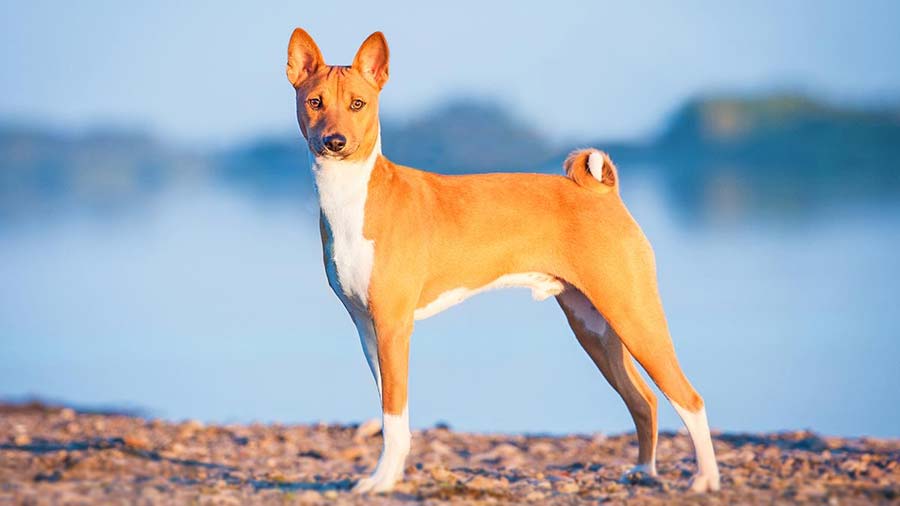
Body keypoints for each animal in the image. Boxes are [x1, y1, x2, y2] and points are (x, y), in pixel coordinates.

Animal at [284, 28, 720, 494]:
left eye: (358, 104)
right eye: (316, 102)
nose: (335, 142)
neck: (355, 198)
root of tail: (602, 193)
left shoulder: (393, 326)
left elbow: (395, 417)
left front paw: (381, 481)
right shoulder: (367, 329)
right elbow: (389, 417)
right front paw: (391, 475)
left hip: (633, 314)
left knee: (689, 398)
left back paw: (706, 479)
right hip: (595, 326)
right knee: (645, 398)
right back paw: (644, 470)